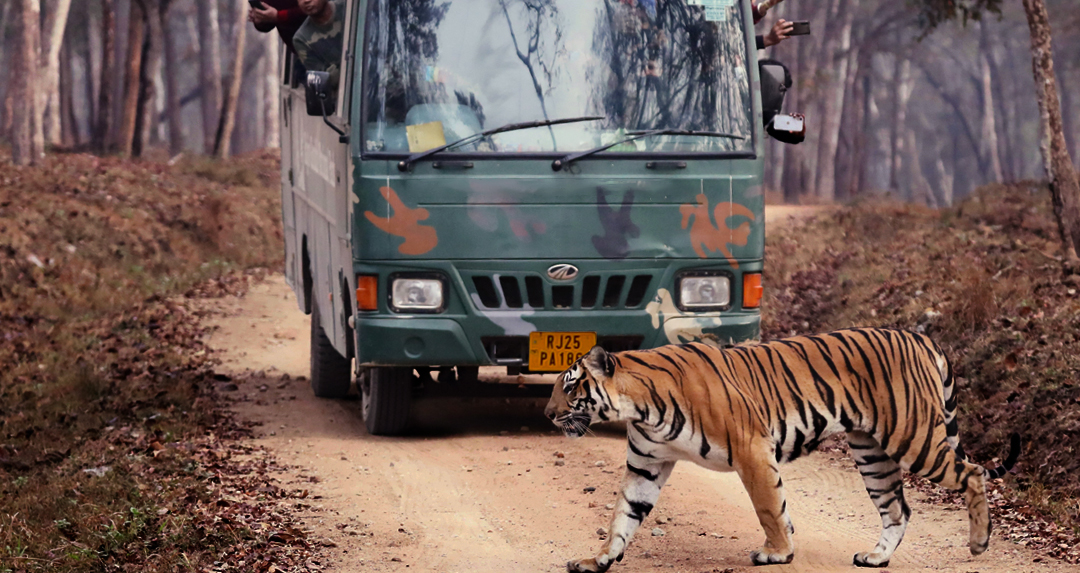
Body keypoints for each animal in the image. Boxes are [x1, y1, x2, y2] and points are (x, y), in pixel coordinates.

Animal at [548, 328, 1019, 569]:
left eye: (570, 387)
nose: (549, 414)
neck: (640, 406)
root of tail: (922, 336)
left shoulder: (752, 448)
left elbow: (768, 506)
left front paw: (777, 552)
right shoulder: (646, 465)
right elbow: (623, 515)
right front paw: (599, 559)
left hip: (913, 436)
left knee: (972, 473)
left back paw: (979, 543)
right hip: (872, 453)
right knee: (898, 509)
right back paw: (876, 557)